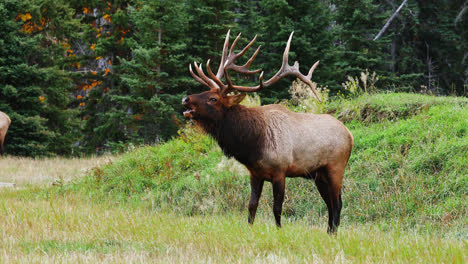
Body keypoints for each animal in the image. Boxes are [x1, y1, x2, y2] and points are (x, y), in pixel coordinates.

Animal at [181, 31, 352, 233]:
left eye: (213, 98)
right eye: (205, 91)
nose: (185, 99)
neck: (253, 143)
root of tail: (350, 134)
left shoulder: (280, 171)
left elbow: (277, 208)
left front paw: (279, 230)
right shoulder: (255, 173)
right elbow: (251, 205)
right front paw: (250, 228)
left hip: (335, 167)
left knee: (337, 203)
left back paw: (333, 232)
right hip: (319, 175)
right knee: (330, 204)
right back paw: (329, 232)